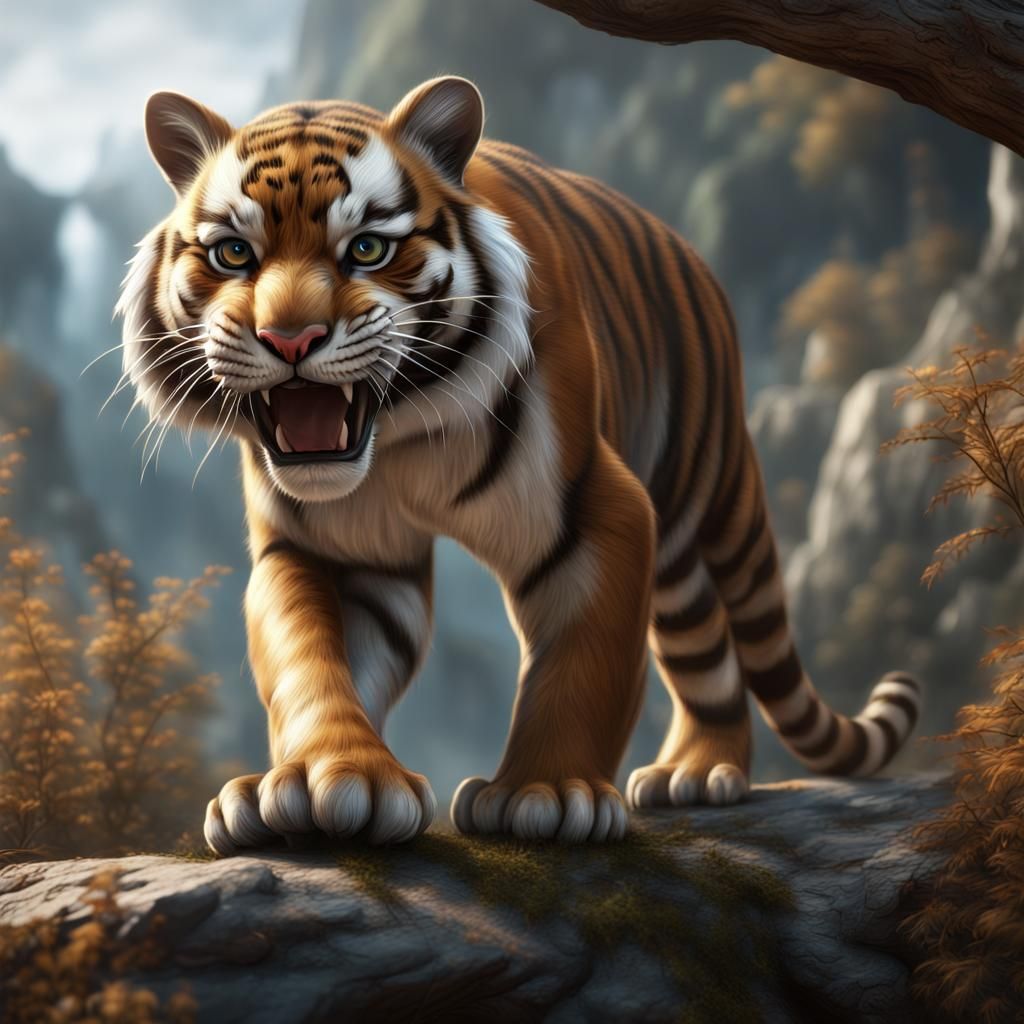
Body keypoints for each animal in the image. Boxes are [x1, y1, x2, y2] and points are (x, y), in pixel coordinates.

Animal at [116, 77, 921, 852]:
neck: (398, 440)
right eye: (234, 254)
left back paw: (696, 772)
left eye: (369, 249)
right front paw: (326, 781)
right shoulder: (326, 551)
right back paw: (694, 769)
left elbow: (581, 662)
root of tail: (686, 247)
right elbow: (311, 664)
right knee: (702, 643)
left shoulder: (595, 510)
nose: (289, 339)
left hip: (712, 487)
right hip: (678, 561)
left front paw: (548, 795)